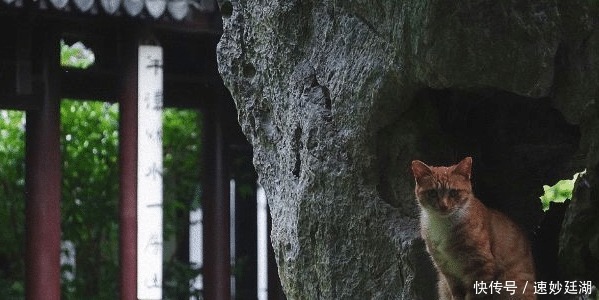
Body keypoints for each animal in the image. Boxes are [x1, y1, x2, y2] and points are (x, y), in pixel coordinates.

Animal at [412, 157, 536, 300]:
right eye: (432, 193)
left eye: (453, 192)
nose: (444, 206)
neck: (443, 224)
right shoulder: (448, 272)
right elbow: (456, 294)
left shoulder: (481, 266)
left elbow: (474, 295)